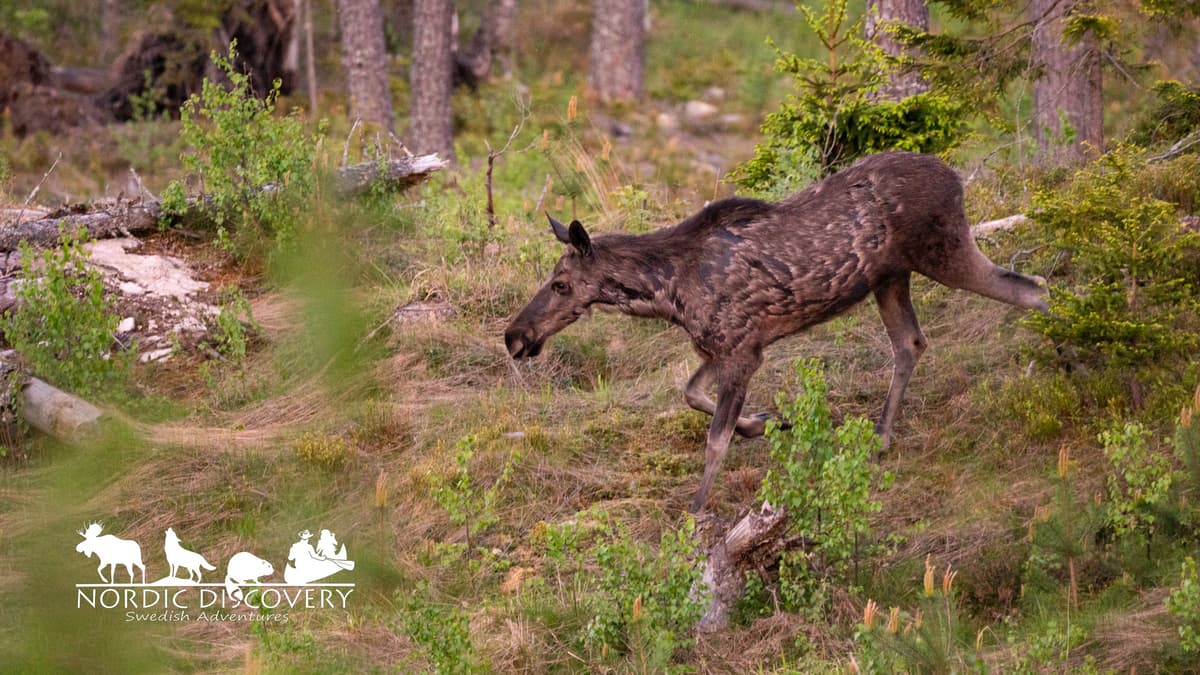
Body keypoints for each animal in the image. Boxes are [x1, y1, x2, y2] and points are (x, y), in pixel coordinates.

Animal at [505, 151, 1049, 512]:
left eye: (560, 284)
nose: (514, 337)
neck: (665, 294)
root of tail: (956, 177)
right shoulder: (730, 347)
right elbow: (690, 393)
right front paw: (768, 422)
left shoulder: (741, 351)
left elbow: (715, 440)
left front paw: (696, 508)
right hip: (892, 277)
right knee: (912, 342)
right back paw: (881, 436)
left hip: (944, 251)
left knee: (1032, 290)